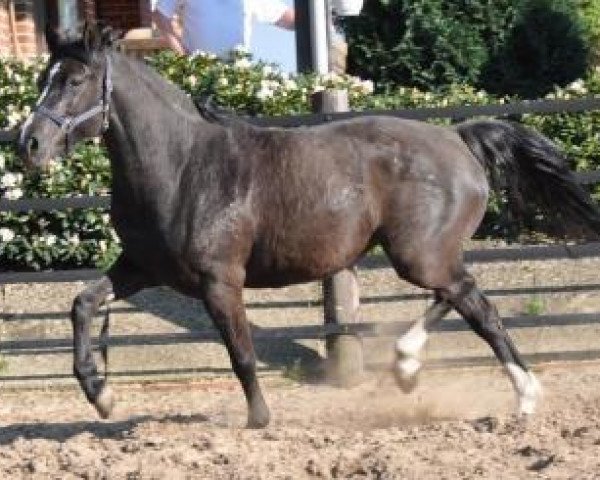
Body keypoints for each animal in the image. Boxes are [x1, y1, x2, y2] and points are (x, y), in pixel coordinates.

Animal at [15, 23, 600, 428]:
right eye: (44, 78)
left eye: (74, 80)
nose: (30, 145)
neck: (182, 165)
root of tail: (458, 138)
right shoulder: (142, 267)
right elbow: (83, 304)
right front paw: (102, 396)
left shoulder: (219, 280)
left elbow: (242, 353)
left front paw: (259, 420)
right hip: (423, 254)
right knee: (459, 292)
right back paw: (409, 367)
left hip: (417, 254)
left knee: (477, 306)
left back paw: (520, 394)